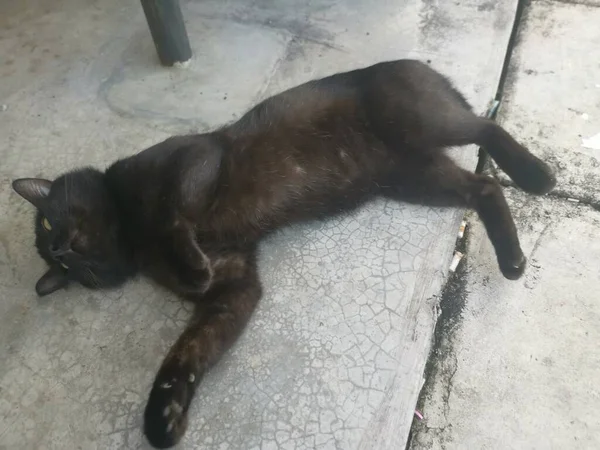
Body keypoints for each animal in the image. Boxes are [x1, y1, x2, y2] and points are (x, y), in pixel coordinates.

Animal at [11, 59, 556, 446]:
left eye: (48, 218)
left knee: (485, 129)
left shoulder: (193, 161)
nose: (59, 247)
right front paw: (162, 414)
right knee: (483, 187)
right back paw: (512, 261)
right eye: (64, 267)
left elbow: (172, 213)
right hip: (410, 176)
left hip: (419, 122)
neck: (132, 238)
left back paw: (537, 175)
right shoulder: (233, 287)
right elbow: (189, 348)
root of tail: (420, 65)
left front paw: (189, 265)